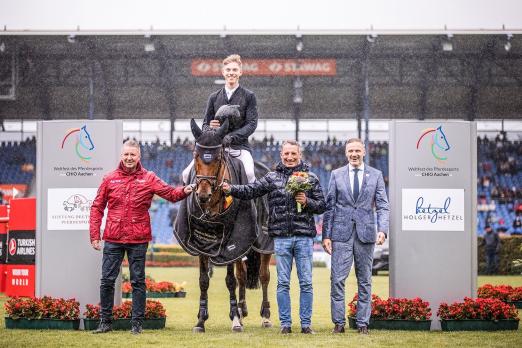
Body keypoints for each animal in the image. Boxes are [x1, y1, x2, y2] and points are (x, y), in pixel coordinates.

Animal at [175, 118, 272, 334]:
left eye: (218, 157)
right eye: (195, 155)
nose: (203, 195)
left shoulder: (230, 240)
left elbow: (230, 281)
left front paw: (234, 319)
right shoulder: (201, 243)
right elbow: (204, 280)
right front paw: (201, 320)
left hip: (263, 243)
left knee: (264, 276)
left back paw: (265, 316)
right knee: (242, 275)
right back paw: (243, 311)